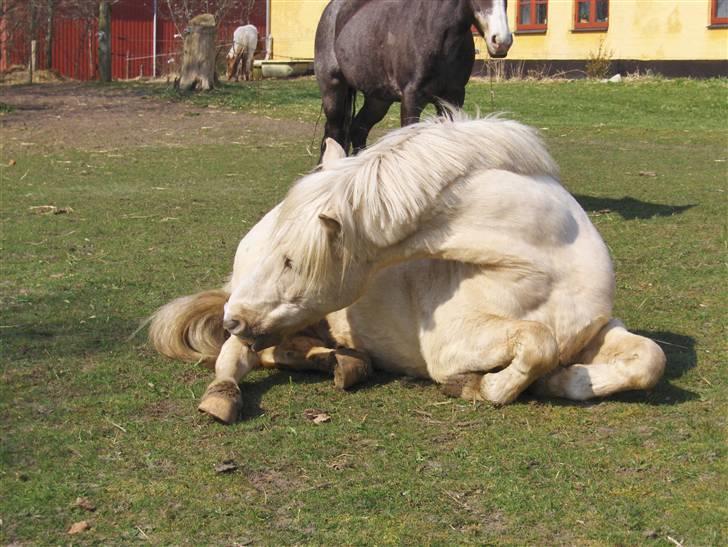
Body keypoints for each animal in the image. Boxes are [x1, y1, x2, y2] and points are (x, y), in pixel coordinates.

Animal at [151, 113, 668, 424]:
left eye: (292, 259)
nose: (232, 319)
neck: (548, 268)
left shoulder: (597, 329)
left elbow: (649, 358)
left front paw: (565, 380)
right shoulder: (454, 344)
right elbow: (537, 342)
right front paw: (480, 386)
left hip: (285, 321)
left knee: (279, 350)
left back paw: (343, 363)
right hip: (267, 321)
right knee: (239, 357)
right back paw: (224, 395)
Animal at [312, 0, 512, 156]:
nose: (502, 41)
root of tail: (332, 11)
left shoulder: (453, 98)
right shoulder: (411, 98)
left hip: (378, 100)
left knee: (358, 130)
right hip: (333, 90)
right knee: (333, 135)